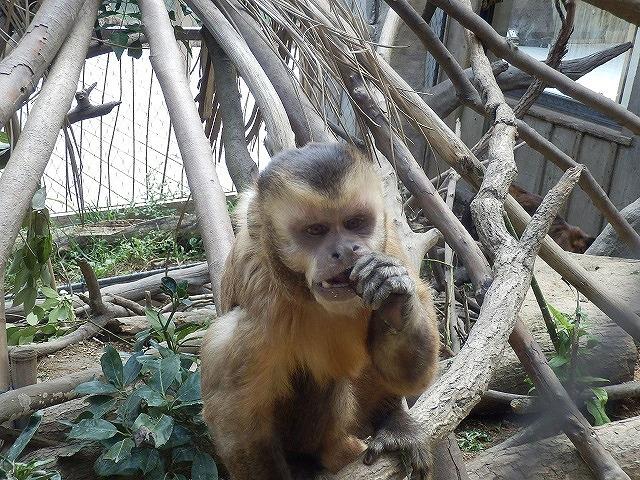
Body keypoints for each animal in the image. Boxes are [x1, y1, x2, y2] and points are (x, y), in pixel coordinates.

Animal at [200, 142, 440, 480]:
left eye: (355, 223)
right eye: (316, 230)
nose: (346, 250)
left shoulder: (389, 245)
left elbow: (409, 373)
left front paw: (394, 298)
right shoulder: (261, 295)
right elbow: (237, 426)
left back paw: (392, 421)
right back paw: (308, 460)